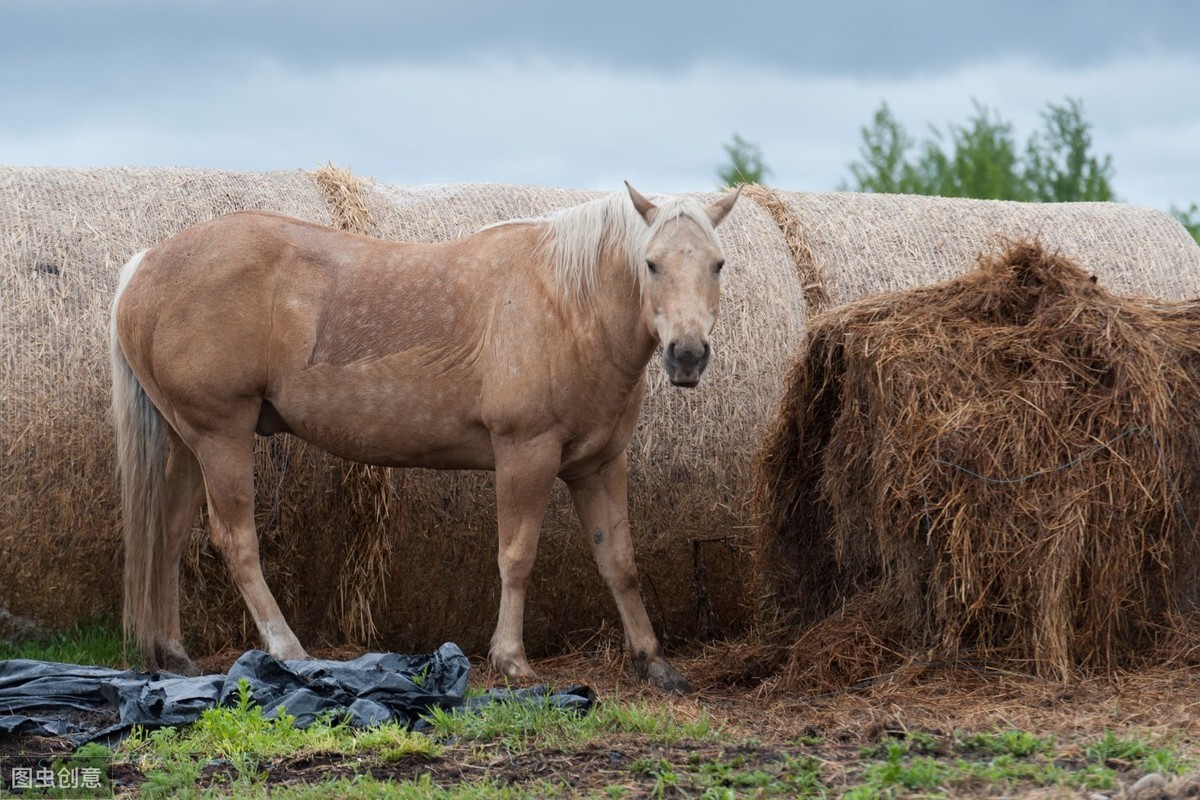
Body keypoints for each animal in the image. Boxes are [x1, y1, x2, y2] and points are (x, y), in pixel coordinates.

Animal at [112, 181, 734, 690]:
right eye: (651, 264)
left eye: (718, 264)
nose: (687, 355)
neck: (566, 303)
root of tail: (144, 264)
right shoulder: (525, 454)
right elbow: (517, 556)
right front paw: (511, 660)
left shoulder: (598, 465)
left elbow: (620, 562)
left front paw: (653, 662)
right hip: (222, 434)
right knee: (235, 541)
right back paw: (288, 650)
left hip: (187, 440)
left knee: (167, 534)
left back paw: (174, 653)